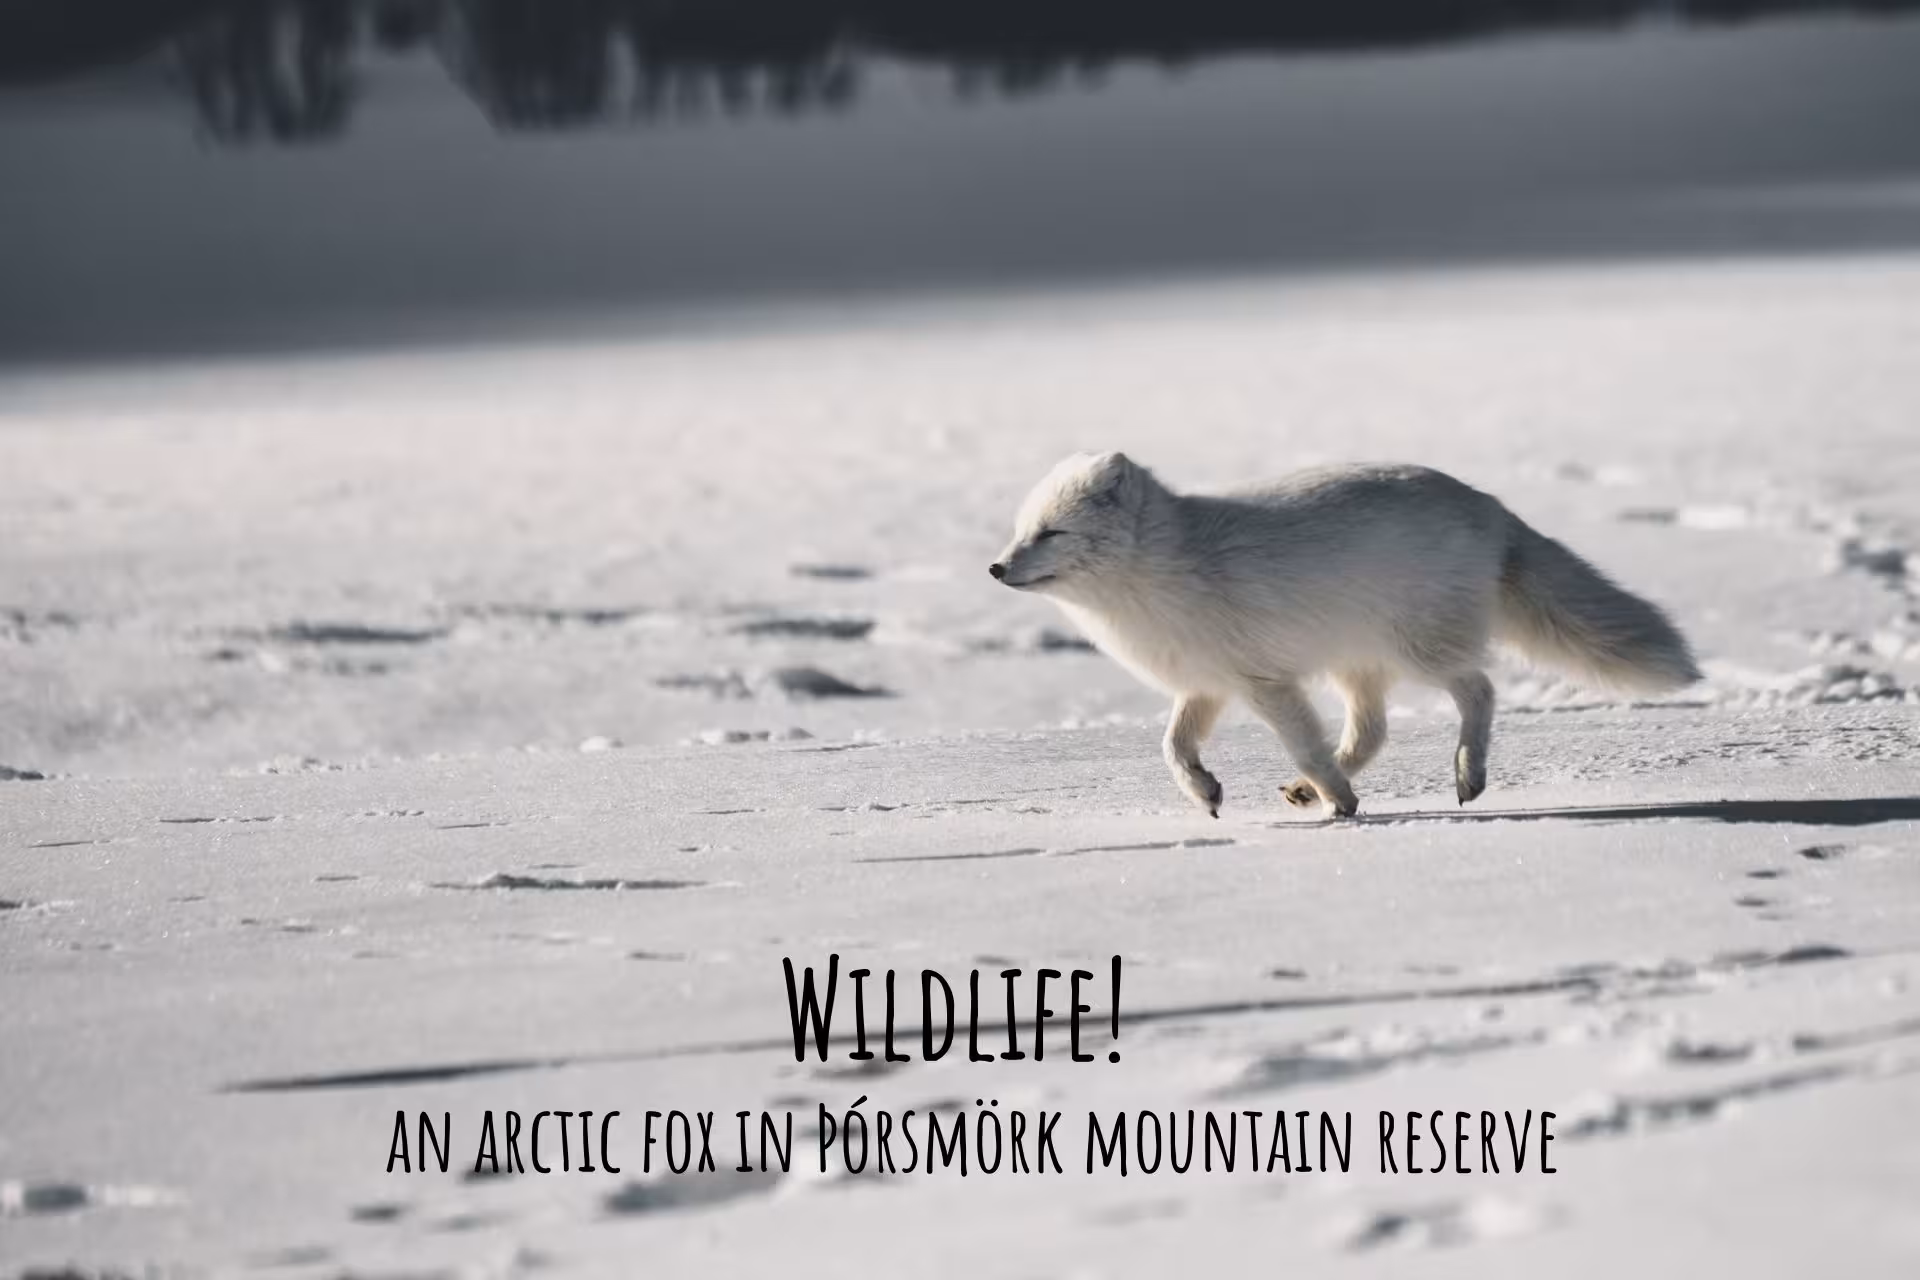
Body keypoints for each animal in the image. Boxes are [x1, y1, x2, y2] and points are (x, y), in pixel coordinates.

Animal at [990, 453, 1700, 819]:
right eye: (1021, 531)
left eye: (1052, 533)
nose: (996, 569)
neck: (1165, 568)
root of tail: (1489, 504)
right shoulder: (1207, 684)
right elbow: (1171, 746)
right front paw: (1206, 791)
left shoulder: (1264, 681)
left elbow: (1304, 744)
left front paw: (1341, 802)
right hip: (1357, 663)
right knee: (1372, 731)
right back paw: (1318, 790)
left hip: (1418, 648)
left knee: (1480, 689)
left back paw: (1464, 774)